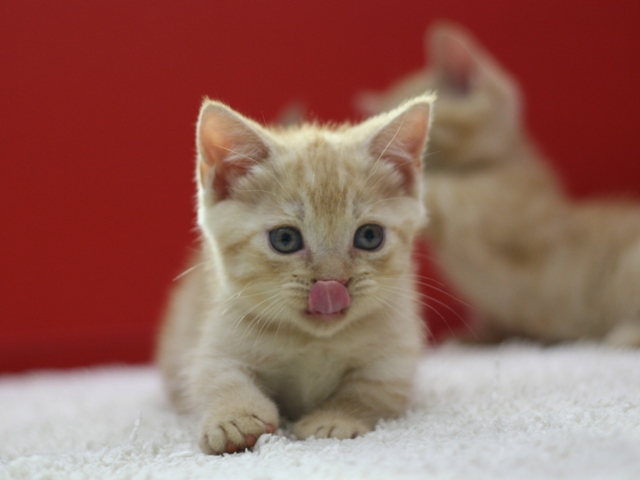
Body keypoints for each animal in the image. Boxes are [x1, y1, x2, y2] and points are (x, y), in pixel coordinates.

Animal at [156, 94, 436, 454]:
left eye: (370, 236)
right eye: (285, 239)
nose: (332, 283)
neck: (314, 340)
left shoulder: (394, 359)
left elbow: (367, 392)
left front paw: (333, 420)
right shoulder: (217, 340)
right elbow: (218, 377)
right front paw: (233, 418)